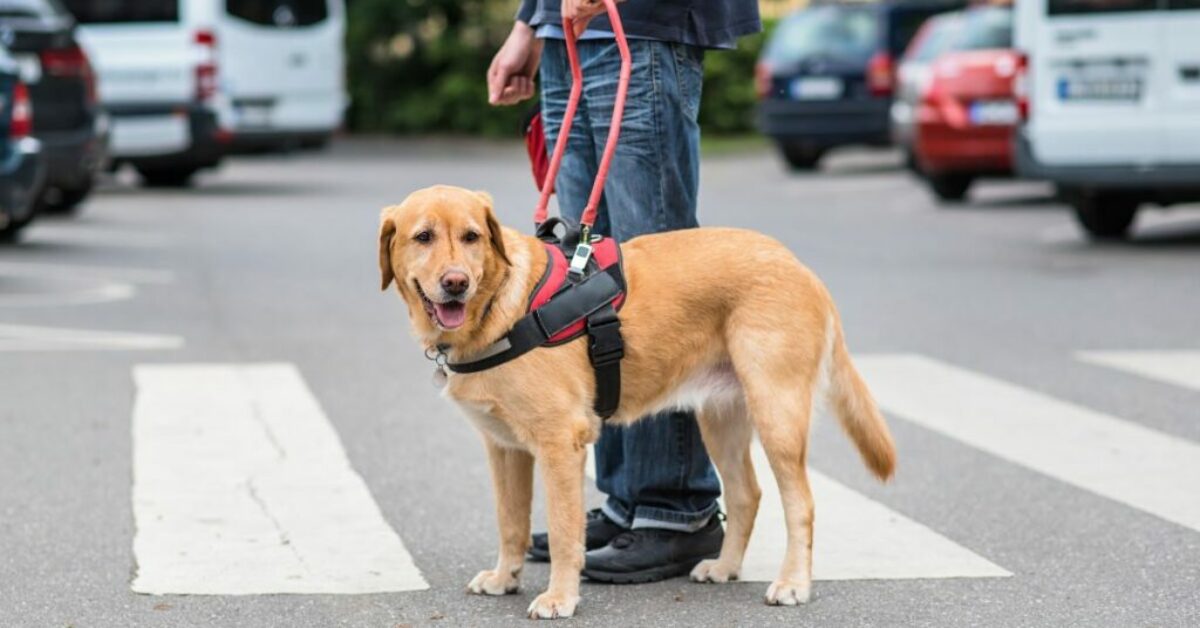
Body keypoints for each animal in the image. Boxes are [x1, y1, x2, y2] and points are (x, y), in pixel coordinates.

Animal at [379, 186, 897, 619]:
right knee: (746, 495)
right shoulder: (505, 449)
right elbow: (511, 523)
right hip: (721, 419)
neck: (497, 309)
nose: (456, 282)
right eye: (423, 237)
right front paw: (505, 577)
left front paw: (560, 597)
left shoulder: (560, 443)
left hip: (777, 415)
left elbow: (565, 533)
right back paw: (724, 567)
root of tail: (798, 265)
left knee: (801, 505)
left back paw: (793, 584)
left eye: (471, 237)